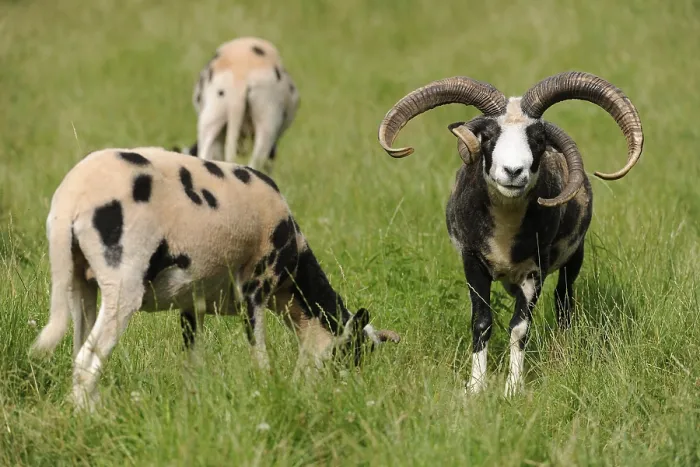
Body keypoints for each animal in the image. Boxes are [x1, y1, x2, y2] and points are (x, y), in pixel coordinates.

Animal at [30, 147, 399, 410]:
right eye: (353, 352)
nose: (345, 396)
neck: (293, 284)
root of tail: (71, 197)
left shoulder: (191, 304)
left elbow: (192, 364)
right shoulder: (256, 288)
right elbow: (260, 357)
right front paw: (269, 395)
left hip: (81, 284)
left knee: (80, 355)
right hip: (122, 285)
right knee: (86, 361)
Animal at [377, 71, 644, 396]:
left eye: (538, 139)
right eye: (488, 136)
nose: (513, 171)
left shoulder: (535, 270)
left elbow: (519, 328)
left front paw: (513, 388)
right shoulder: (472, 261)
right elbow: (481, 322)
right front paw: (475, 387)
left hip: (574, 257)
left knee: (564, 301)